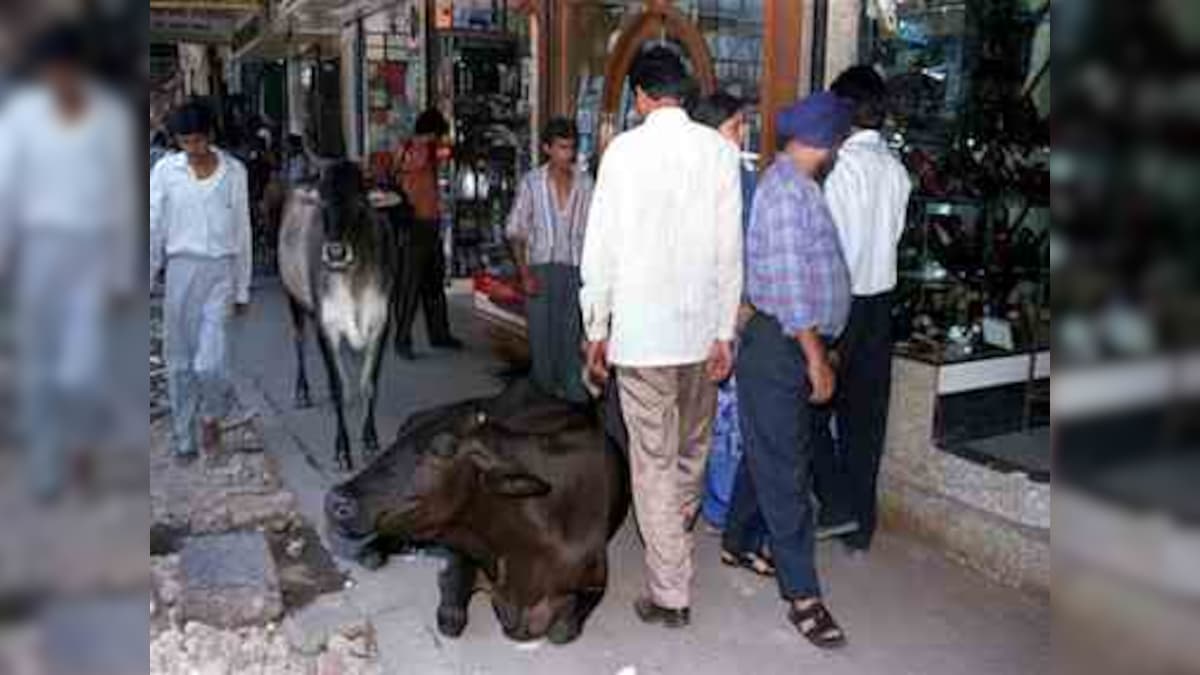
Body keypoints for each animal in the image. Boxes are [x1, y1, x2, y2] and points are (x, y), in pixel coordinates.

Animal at [324, 379, 633, 638]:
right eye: (401, 435)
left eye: (444, 448)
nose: (337, 500)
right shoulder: (464, 554)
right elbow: (451, 616)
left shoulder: (595, 580)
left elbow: (562, 630)